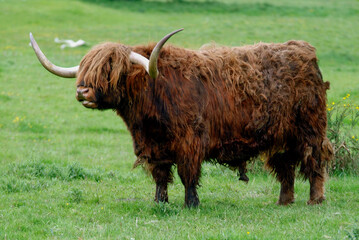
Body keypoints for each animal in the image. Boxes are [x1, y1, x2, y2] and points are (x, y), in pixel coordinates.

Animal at [30, 29, 334, 207]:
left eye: (112, 71)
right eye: (86, 68)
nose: (83, 91)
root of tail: (304, 50)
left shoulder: (190, 141)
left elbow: (188, 174)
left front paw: (191, 204)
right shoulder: (153, 146)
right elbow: (160, 175)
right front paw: (160, 202)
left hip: (310, 129)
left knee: (315, 162)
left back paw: (315, 200)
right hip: (281, 137)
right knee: (286, 167)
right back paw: (284, 201)